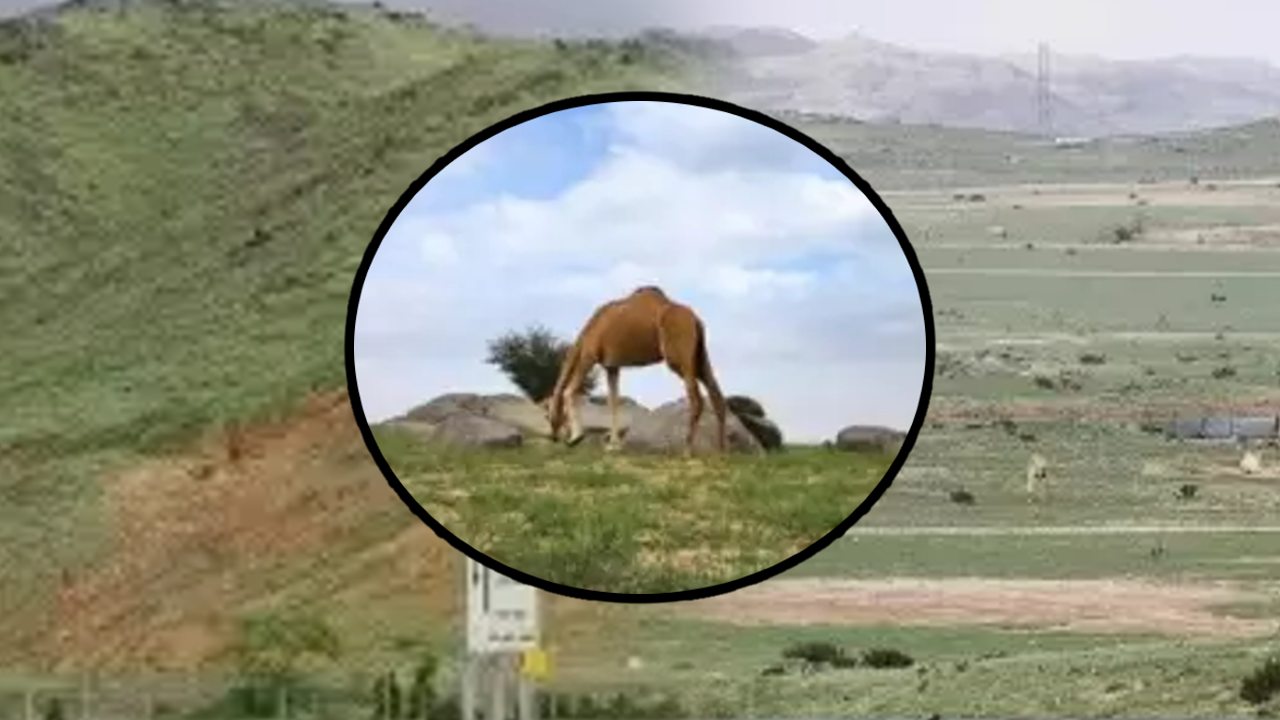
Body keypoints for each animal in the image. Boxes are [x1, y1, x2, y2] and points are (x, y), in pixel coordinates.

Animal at [542, 283, 732, 450]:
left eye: (547, 415)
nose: (553, 436)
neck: (588, 331)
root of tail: (696, 320)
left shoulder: (590, 355)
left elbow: (569, 391)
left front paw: (576, 438)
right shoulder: (612, 366)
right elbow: (613, 401)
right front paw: (613, 445)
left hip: (678, 358)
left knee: (696, 398)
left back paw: (688, 449)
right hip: (699, 357)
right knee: (716, 393)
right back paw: (721, 449)